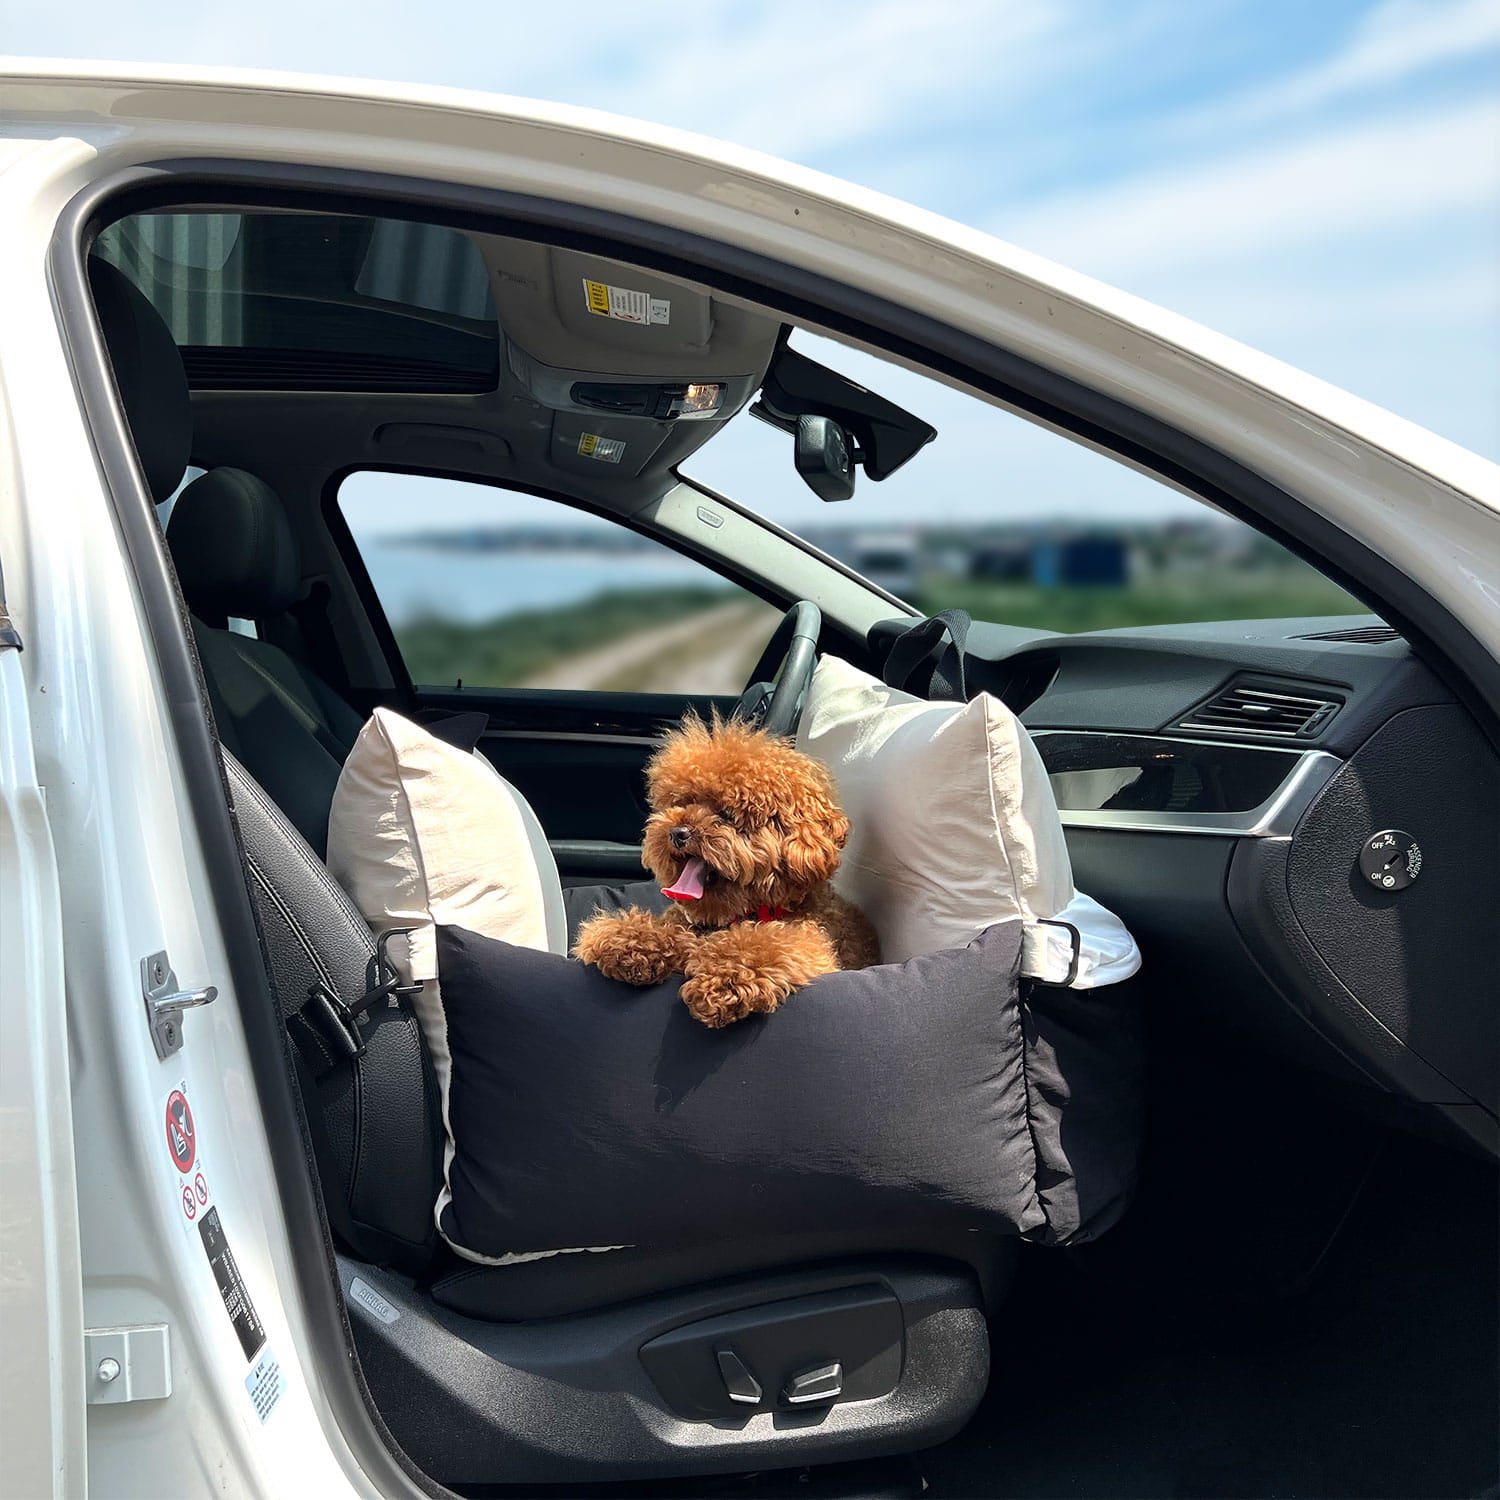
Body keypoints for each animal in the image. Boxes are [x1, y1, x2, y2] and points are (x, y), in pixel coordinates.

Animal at [573, 711, 876, 1020]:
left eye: (727, 814)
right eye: (682, 802)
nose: (678, 833)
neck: (735, 916)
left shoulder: (809, 941)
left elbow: (765, 945)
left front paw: (724, 978)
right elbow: (662, 930)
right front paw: (626, 941)